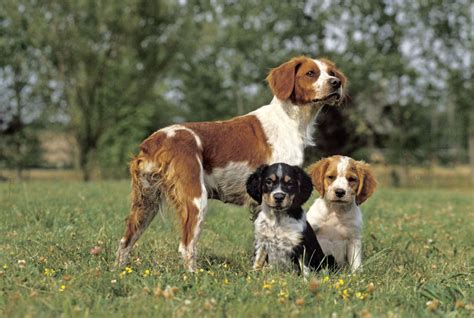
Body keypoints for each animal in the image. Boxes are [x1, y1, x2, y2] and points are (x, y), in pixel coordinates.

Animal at [114, 56, 344, 272]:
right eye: (311, 73)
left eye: (331, 73)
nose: (336, 83)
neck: (288, 119)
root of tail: (155, 141)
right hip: (195, 200)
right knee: (186, 246)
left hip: (146, 202)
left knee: (125, 241)